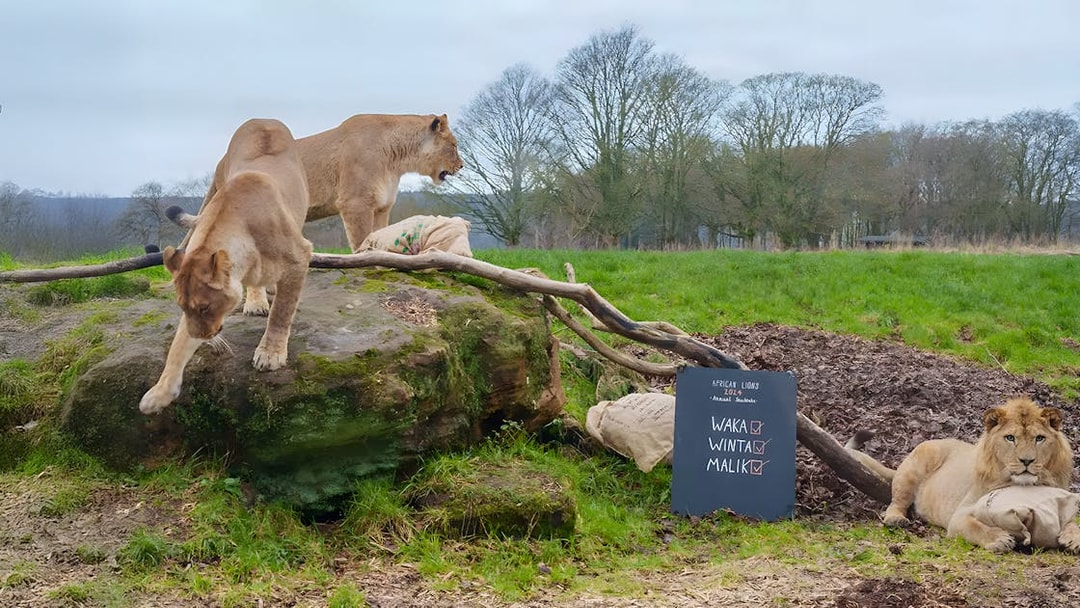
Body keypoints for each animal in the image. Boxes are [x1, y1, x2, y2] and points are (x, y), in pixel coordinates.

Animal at [139, 118, 312, 415]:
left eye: (205, 308)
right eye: (183, 308)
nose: (201, 335)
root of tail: (263, 119)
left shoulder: (299, 256)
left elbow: (282, 312)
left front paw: (270, 353)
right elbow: (178, 347)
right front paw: (158, 394)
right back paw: (256, 300)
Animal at [174, 112, 463, 314]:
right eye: (454, 145)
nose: (461, 165)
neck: (397, 158)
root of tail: (219, 163)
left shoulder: (382, 206)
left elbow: (379, 235)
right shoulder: (354, 202)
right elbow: (362, 238)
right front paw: (368, 264)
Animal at [873, 397, 1079, 552]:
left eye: (1039, 438)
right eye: (1010, 438)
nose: (1027, 461)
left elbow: (1073, 523)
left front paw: (1073, 539)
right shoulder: (958, 518)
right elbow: (976, 527)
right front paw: (999, 539)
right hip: (914, 468)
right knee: (897, 501)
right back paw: (896, 519)